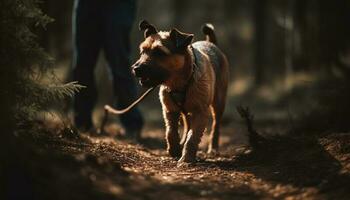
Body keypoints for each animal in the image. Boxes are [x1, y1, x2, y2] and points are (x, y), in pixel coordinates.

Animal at [132, 20, 230, 162]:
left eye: (159, 52)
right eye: (142, 51)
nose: (136, 68)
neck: (180, 83)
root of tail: (211, 43)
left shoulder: (200, 112)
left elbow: (192, 137)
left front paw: (186, 159)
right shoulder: (170, 110)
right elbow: (170, 132)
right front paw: (175, 150)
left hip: (218, 103)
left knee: (216, 126)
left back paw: (213, 149)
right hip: (186, 110)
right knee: (187, 124)